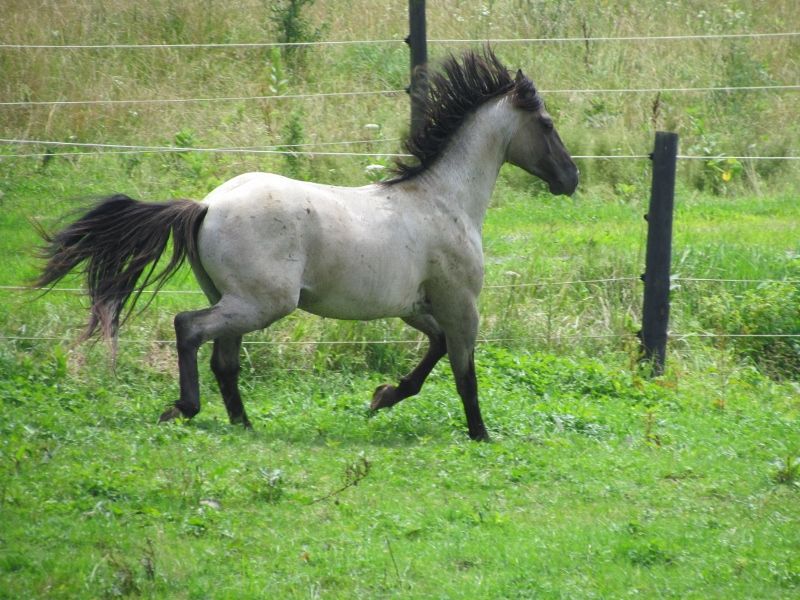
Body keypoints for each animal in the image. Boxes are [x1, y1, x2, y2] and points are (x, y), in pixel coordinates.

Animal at [36, 48, 578, 441]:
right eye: (547, 124)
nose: (571, 179)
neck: (443, 199)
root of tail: (207, 205)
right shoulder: (461, 305)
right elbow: (466, 372)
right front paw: (481, 434)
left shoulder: (418, 307)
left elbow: (437, 350)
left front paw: (382, 396)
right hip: (262, 303)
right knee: (189, 327)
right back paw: (184, 409)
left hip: (236, 301)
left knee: (223, 360)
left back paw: (244, 425)